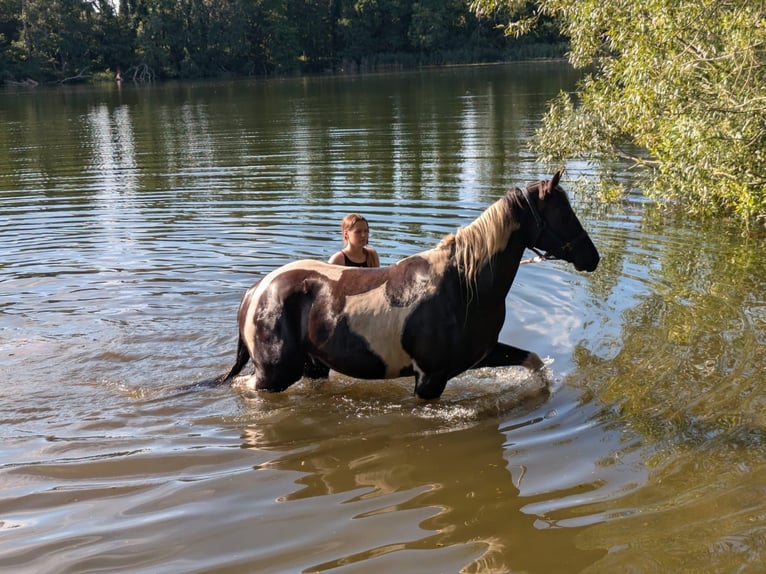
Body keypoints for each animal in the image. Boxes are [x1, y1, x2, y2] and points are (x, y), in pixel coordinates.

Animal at [207, 171, 604, 400]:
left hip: (313, 366)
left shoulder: (481, 354)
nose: (592, 256)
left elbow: (534, 362)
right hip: (274, 374)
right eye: (562, 213)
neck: (463, 286)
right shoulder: (430, 380)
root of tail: (256, 292)